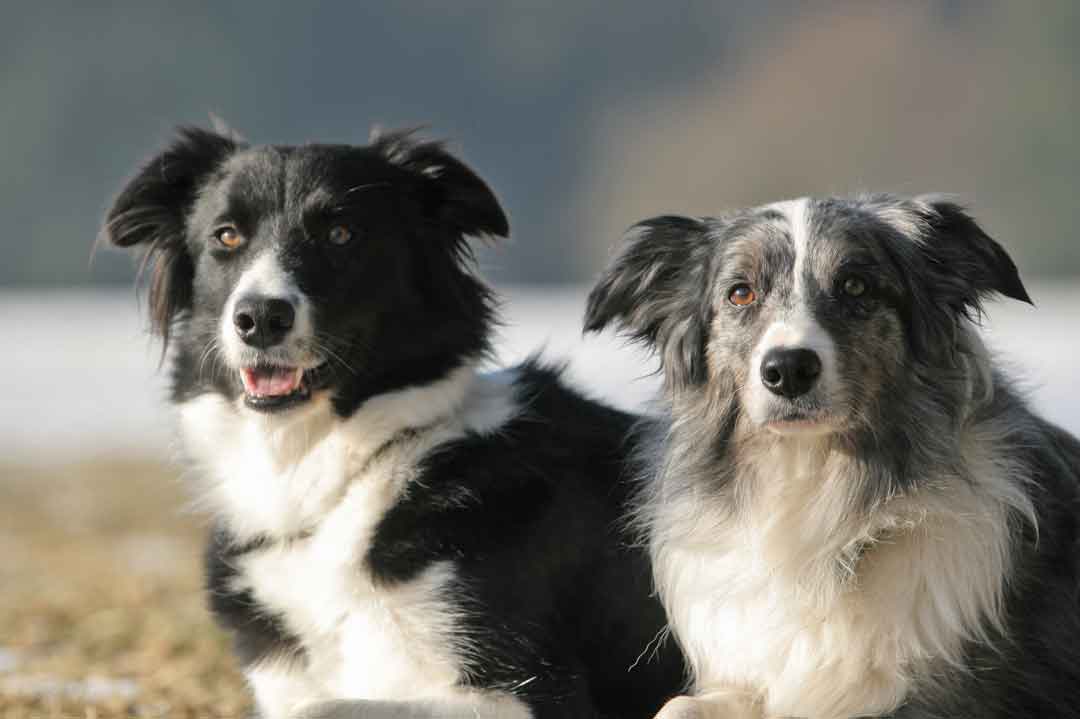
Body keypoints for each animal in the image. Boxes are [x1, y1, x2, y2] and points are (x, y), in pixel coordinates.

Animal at [101, 127, 682, 716]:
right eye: (226, 236)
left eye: (341, 233)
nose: (260, 317)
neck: (327, 479)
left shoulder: (532, 692)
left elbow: (329, 707)